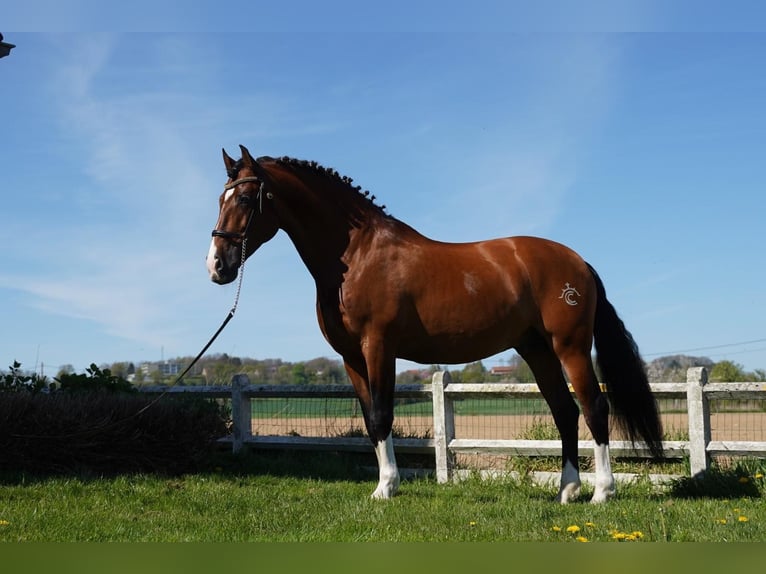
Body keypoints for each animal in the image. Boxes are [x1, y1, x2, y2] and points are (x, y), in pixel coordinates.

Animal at [206, 145, 664, 503]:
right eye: (220, 199)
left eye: (244, 198)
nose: (217, 266)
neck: (357, 255)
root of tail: (579, 263)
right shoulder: (351, 357)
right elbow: (369, 418)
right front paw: (383, 483)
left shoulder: (378, 346)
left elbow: (382, 415)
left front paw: (386, 487)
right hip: (536, 350)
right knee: (564, 412)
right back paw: (567, 491)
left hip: (570, 346)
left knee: (594, 407)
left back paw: (602, 492)